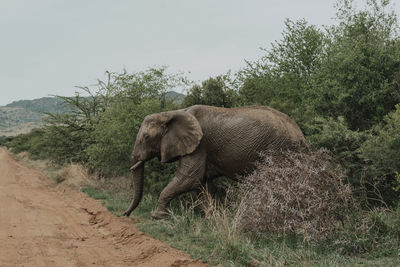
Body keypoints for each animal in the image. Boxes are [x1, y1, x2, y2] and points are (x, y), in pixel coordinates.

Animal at [124, 104, 306, 220]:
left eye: (146, 137)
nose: (125, 214)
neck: (173, 113)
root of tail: (301, 136)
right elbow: (201, 184)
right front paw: (212, 218)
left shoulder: (199, 145)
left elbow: (189, 179)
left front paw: (157, 216)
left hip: (278, 149)